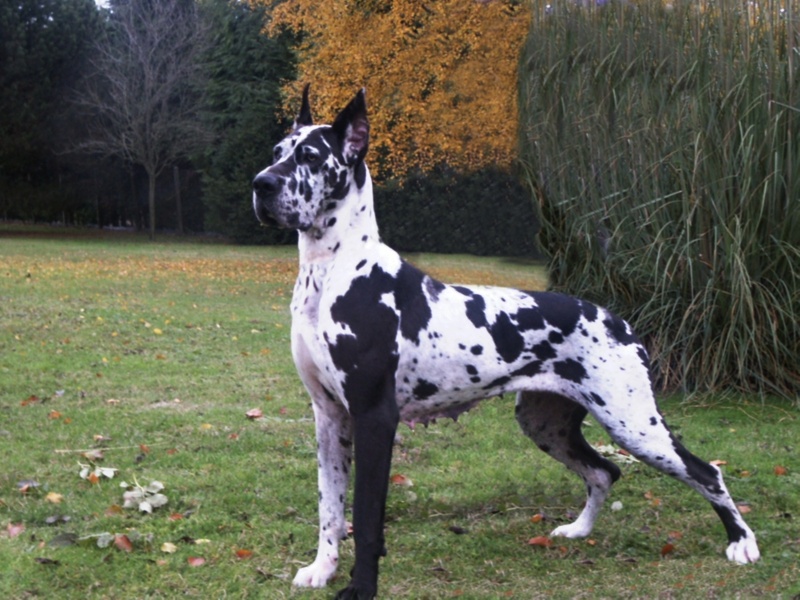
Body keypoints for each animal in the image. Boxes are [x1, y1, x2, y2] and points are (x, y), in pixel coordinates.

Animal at [253, 86, 760, 596]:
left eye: (310, 156)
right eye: (277, 152)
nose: (261, 185)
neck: (336, 271)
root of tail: (616, 319)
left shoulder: (374, 417)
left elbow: (365, 517)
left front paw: (361, 587)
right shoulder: (329, 417)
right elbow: (330, 507)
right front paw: (322, 568)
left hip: (634, 423)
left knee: (707, 472)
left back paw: (742, 543)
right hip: (545, 423)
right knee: (604, 471)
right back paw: (579, 530)